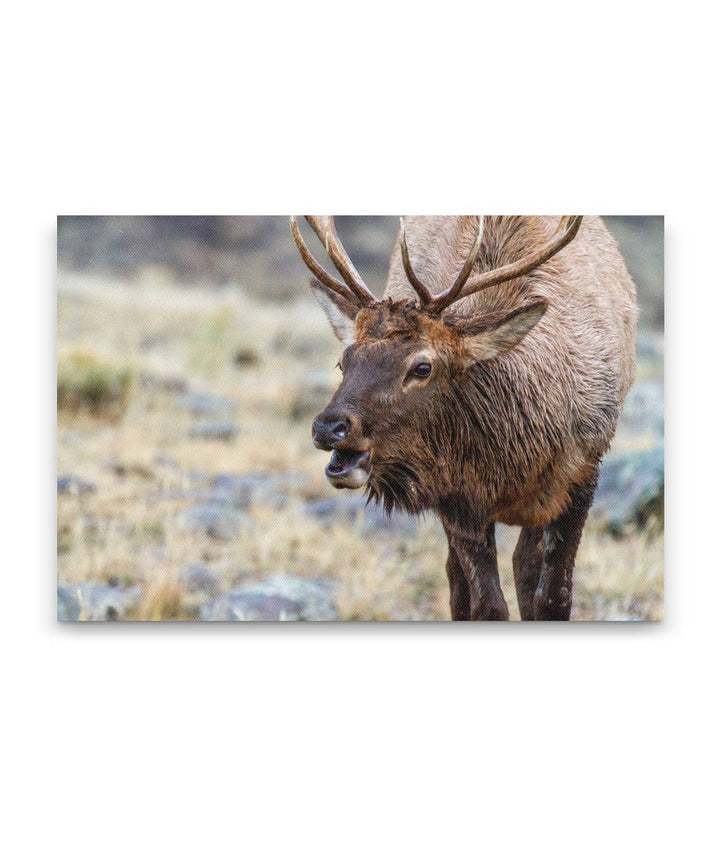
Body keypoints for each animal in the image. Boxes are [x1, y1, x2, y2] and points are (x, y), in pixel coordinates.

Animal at [290, 211, 640, 620]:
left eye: (422, 367)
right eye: (343, 361)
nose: (328, 427)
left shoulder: (583, 472)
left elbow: (554, 598)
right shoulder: (455, 494)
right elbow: (486, 606)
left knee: (523, 564)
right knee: (458, 582)